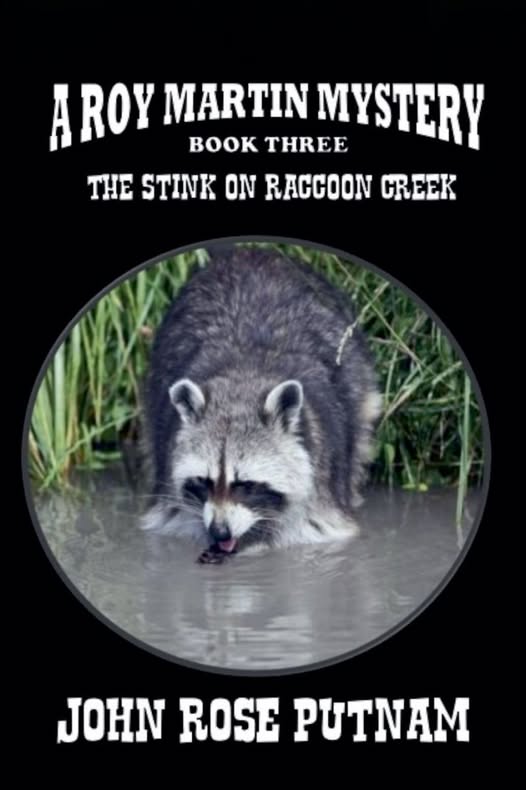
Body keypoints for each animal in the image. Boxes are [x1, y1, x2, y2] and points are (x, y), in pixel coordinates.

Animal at [139, 246, 382, 559]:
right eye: (203, 481)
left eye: (245, 484)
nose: (219, 532)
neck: (242, 381)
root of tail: (247, 251)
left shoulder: (321, 487)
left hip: (356, 374)